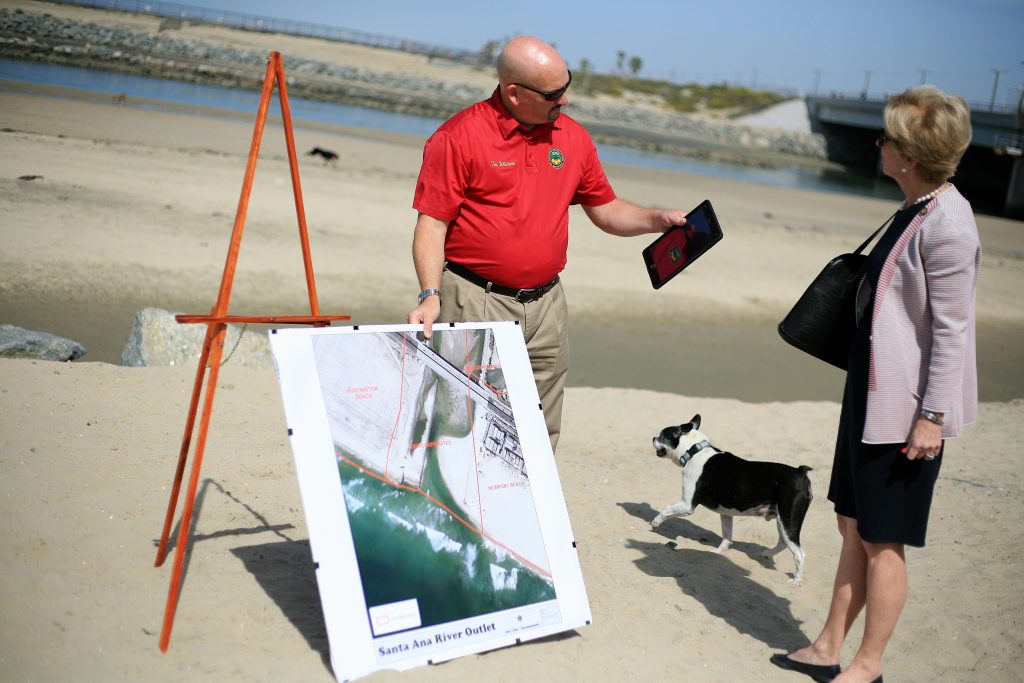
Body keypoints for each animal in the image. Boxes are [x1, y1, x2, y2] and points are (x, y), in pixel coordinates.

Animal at [651, 413, 811, 585]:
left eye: (662, 435)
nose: (653, 438)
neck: (694, 451)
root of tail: (801, 472)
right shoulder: (726, 513)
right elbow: (727, 536)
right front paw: (717, 552)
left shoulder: (687, 505)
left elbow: (667, 509)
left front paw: (655, 521)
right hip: (782, 521)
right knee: (783, 543)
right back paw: (766, 554)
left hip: (788, 521)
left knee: (799, 553)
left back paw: (795, 580)